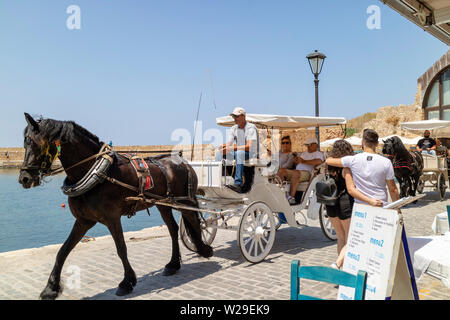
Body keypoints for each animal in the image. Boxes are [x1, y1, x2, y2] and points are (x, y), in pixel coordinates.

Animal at [18, 113, 213, 300]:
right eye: (24, 143)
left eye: (34, 143)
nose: (24, 179)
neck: (96, 173)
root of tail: (183, 161)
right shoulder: (84, 221)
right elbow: (63, 250)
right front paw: (50, 288)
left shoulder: (112, 218)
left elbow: (121, 249)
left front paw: (127, 283)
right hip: (163, 205)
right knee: (173, 229)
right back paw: (173, 264)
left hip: (185, 201)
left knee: (195, 222)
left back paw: (204, 249)